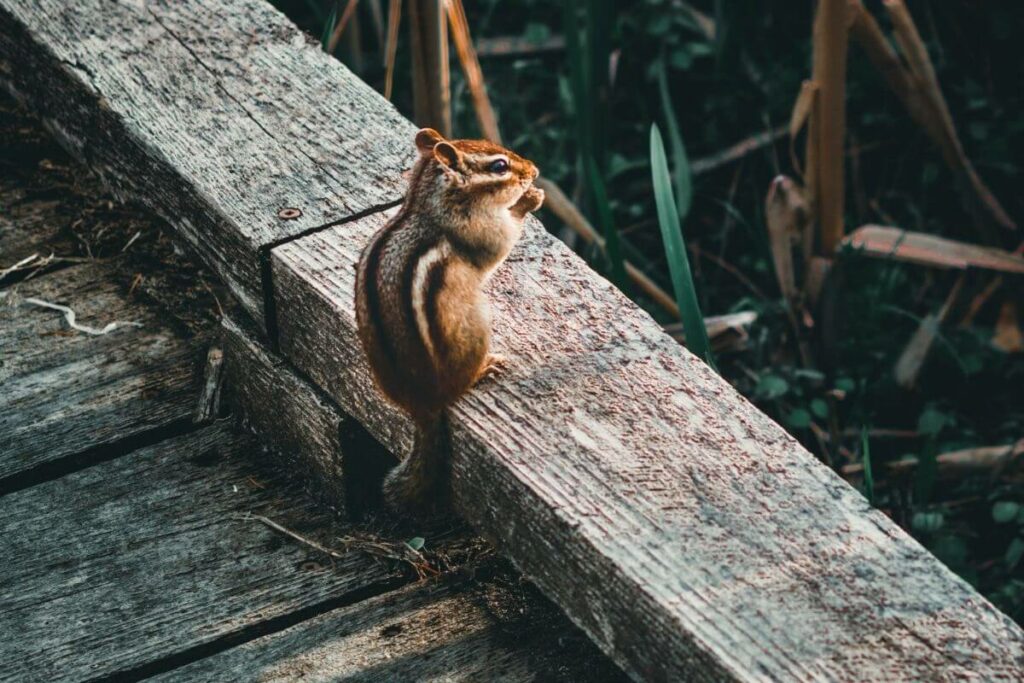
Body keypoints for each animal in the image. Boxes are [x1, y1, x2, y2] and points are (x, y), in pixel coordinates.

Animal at [354, 127, 544, 515]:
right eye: (499, 166)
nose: (533, 170)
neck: (430, 203)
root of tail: (422, 403)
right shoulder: (483, 233)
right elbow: (503, 240)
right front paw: (529, 199)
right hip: (474, 330)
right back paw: (486, 368)